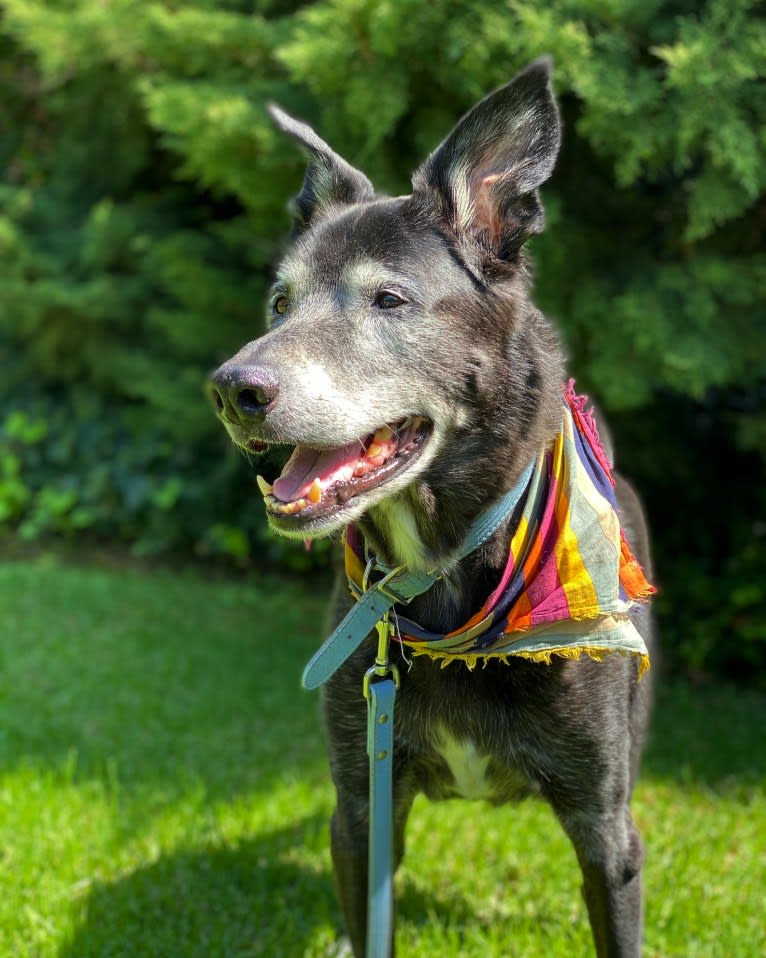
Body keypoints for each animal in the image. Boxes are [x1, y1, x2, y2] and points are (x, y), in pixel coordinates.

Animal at [208, 56, 656, 956]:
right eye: (279, 302)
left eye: (388, 300)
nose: (233, 390)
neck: (445, 581)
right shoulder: (362, 806)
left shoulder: (608, 831)